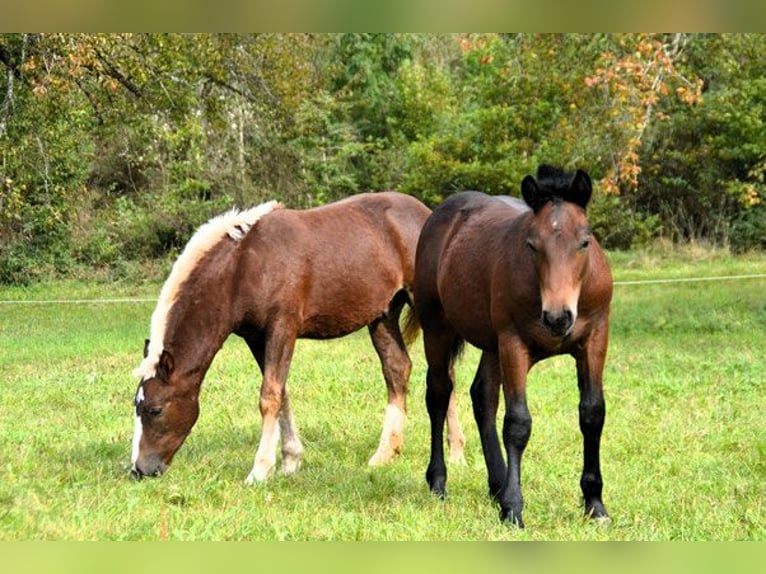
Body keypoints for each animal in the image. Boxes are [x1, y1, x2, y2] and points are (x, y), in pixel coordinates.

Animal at [130, 191, 468, 484]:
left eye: (154, 409)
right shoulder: (256, 337)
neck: (244, 266)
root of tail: (427, 214)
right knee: (397, 369)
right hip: (382, 316)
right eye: (136, 405)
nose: (139, 469)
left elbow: (270, 396)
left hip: (425, 308)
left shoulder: (283, 327)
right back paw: (385, 453)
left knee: (445, 373)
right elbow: (281, 392)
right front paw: (290, 461)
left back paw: (456, 453)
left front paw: (260, 470)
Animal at [416, 164, 616, 528]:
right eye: (532, 245)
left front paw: (595, 505)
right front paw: (513, 509)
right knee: (438, 394)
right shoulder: (514, 343)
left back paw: (496, 484)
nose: (558, 318)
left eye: (584, 241)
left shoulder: (595, 339)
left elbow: (592, 413)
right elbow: (518, 423)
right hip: (438, 328)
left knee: (482, 395)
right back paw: (438, 482)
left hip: (491, 344)